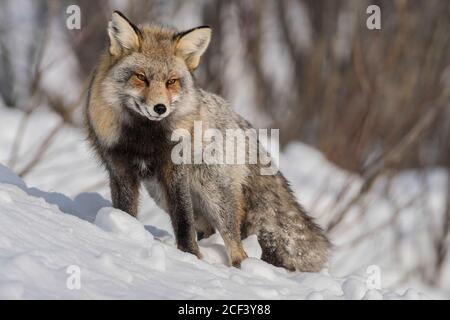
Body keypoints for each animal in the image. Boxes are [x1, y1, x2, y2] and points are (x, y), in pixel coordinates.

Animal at [85, 11, 330, 272]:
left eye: (171, 81)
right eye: (141, 77)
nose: (160, 108)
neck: (145, 138)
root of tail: (238, 119)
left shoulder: (175, 172)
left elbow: (183, 221)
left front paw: (190, 256)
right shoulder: (119, 168)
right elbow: (126, 210)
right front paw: (123, 230)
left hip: (213, 193)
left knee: (234, 241)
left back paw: (240, 266)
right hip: (161, 193)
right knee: (207, 229)